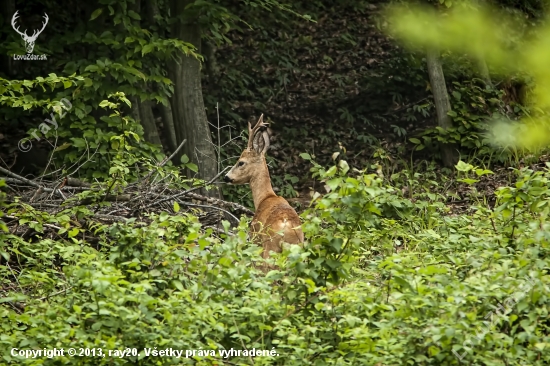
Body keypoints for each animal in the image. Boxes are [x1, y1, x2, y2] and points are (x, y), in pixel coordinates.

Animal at [225, 116, 306, 262]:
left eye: (241, 162)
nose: (226, 177)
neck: (265, 197)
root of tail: (287, 227)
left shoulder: (255, 235)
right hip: (299, 248)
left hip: (269, 247)